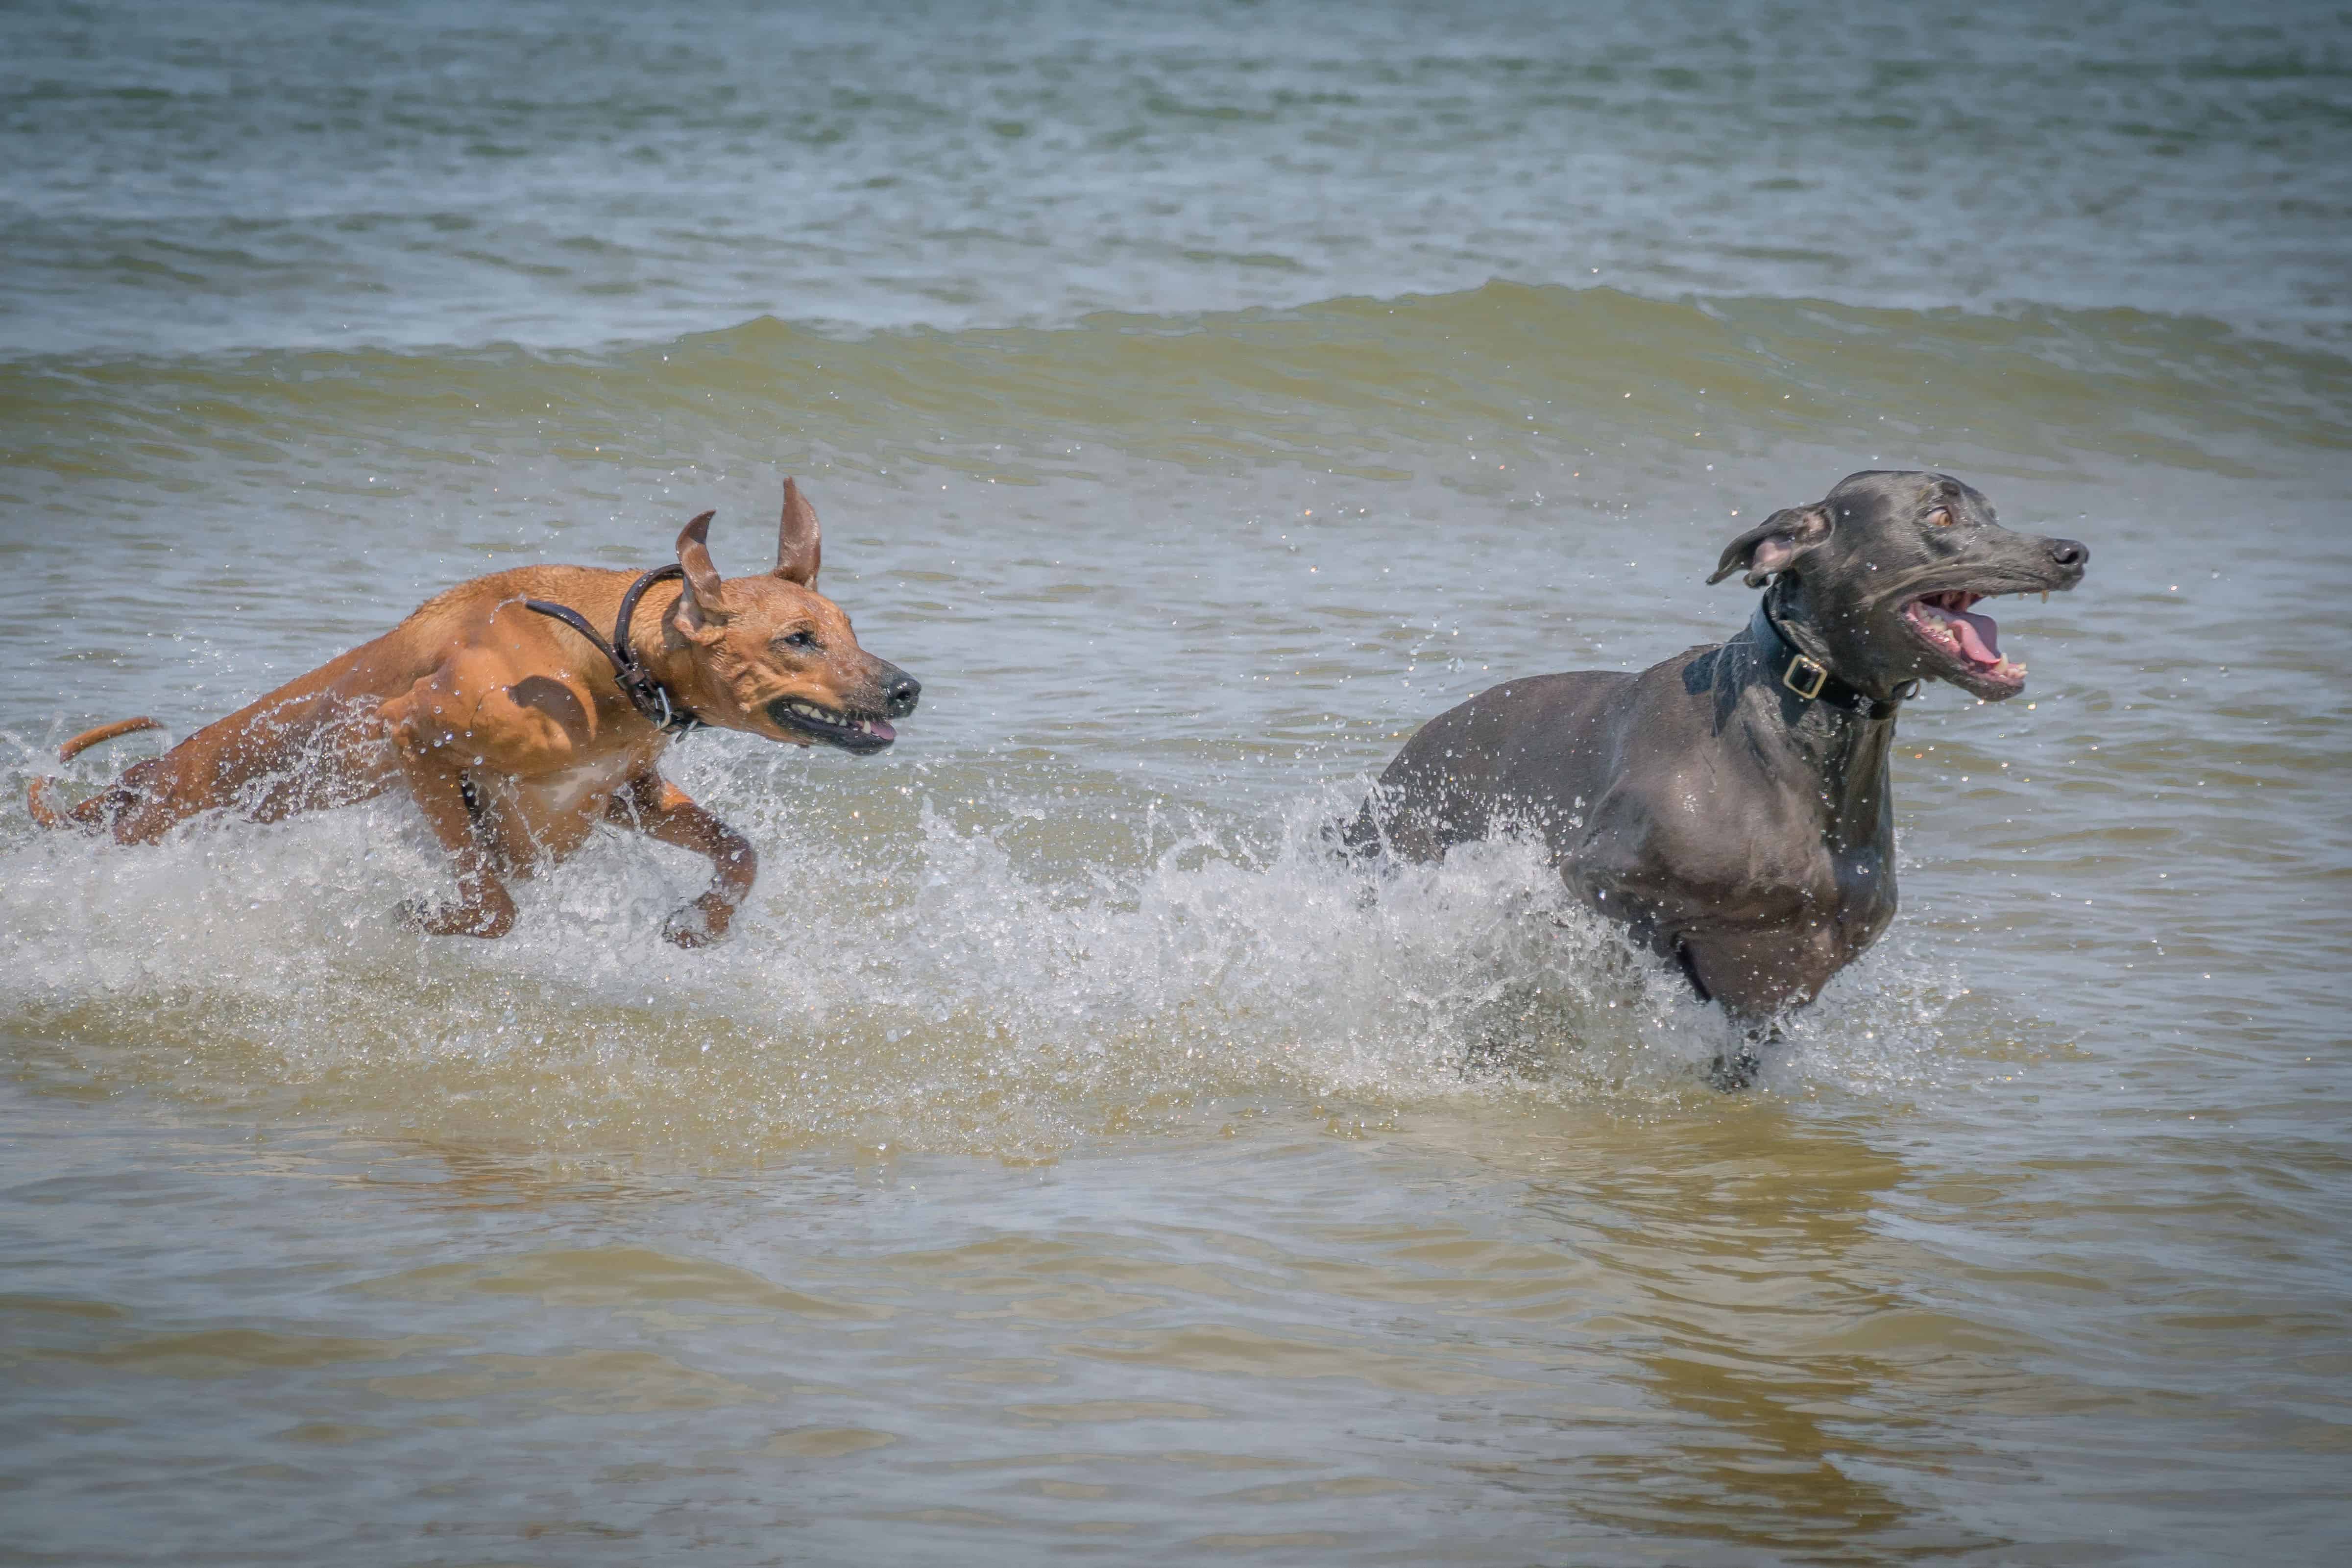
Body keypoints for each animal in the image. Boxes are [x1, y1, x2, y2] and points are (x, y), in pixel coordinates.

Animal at [39, 480, 917, 945]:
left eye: (850, 628)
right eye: (799, 639)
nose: (908, 688)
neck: (608, 659)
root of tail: (138, 782)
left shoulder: (622, 793)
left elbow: (742, 851)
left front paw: (701, 923)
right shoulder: (416, 736)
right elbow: (494, 905)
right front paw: (425, 914)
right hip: (166, 821)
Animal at [1345, 465, 2098, 1081]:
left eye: (1991, 512)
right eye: (1939, 517)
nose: (2071, 553)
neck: (1793, 748)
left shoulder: (1793, 981)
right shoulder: (1598, 880)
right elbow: (1656, 963)